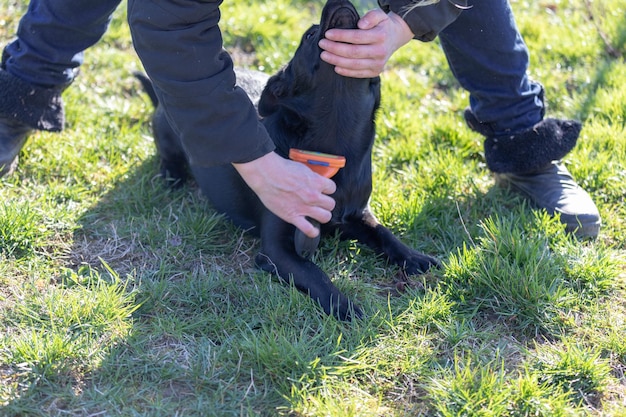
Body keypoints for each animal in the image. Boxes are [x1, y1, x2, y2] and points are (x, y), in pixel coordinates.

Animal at [136, 0, 438, 320]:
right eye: (309, 35)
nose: (340, 3)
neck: (335, 141)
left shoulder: (357, 215)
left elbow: (384, 234)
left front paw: (415, 257)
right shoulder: (277, 248)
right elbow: (315, 273)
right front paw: (344, 306)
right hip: (168, 136)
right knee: (169, 159)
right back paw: (173, 179)